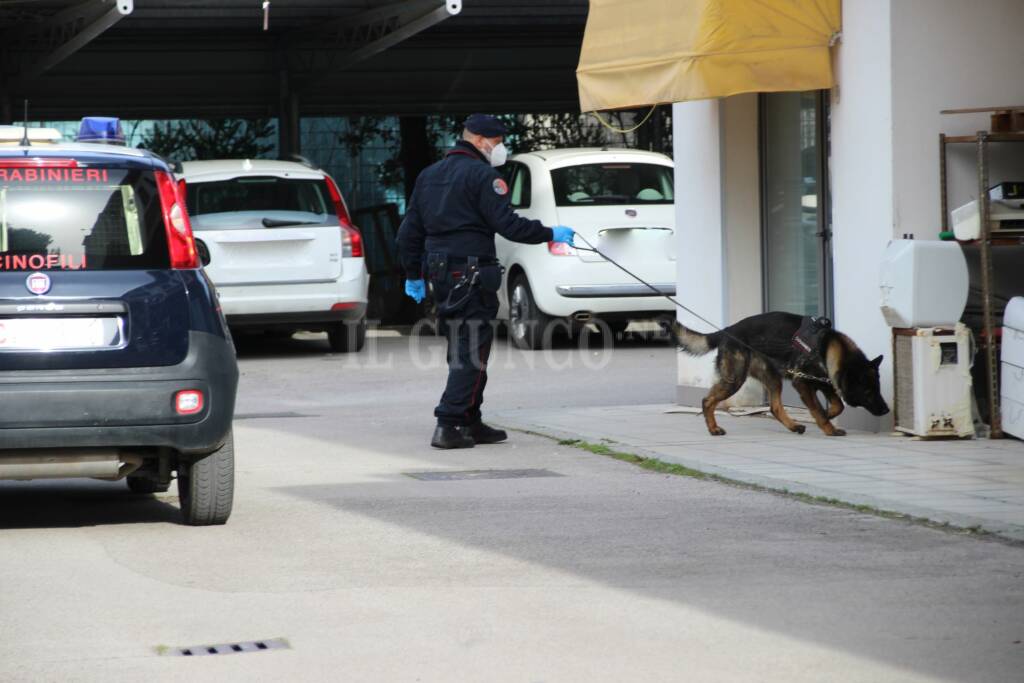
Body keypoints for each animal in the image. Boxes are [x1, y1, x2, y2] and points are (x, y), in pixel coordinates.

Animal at [671, 313, 888, 436]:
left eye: (878, 389)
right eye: (869, 392)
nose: (886, 410)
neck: (829, 349)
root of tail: (727, 330)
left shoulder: (825, 382)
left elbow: (837, 405)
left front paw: (827, 416)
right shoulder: (802, 383)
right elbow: (819, 409)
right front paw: (828, 428)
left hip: (773, 379)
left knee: (775, 407)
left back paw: (794, 426)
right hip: (735, 379)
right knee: (707, 401)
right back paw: (713, 429)